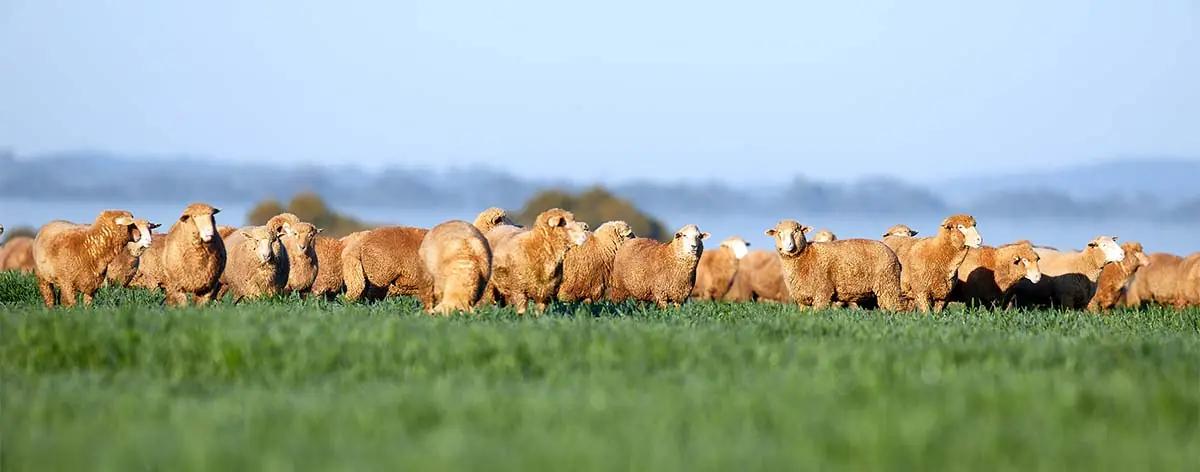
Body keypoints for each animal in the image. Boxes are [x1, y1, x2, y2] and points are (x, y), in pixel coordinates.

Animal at [765, 220, 902, 310]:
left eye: (796, 231)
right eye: (779, 233)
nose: (789, 245)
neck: (806, 255)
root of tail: (893, 255)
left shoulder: (823, 291)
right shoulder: (802, 299)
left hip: (888, 284)